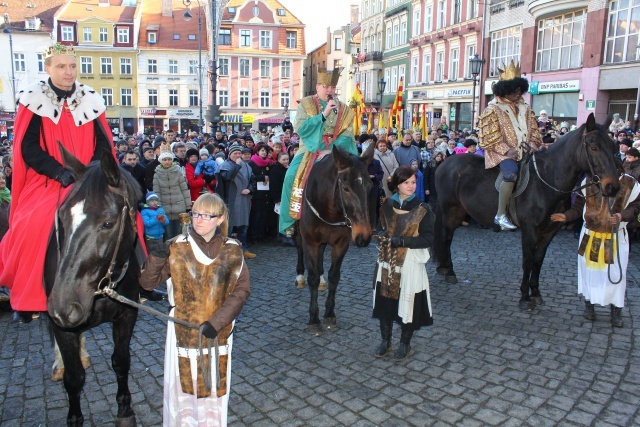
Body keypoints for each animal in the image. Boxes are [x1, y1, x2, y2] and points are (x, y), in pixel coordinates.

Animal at [45, 145, 143, 426]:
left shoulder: (127, 315)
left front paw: (124, 410)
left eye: (108, 223)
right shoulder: (63, 328)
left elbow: (121, 361)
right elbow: (74, 378)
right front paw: (75, 419)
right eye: (62, 218)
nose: (64, 306)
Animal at [296, 145, 376, 334]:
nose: (364, 236)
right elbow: (312, 277)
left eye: (370, 186)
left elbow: (334, 276)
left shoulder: (341, 243)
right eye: (346, 188)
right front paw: (313, 318)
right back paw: (300, 276)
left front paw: (329, 313)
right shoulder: (310, 242)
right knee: (298, 246)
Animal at [430, 113, 620, 310]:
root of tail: (445, 163)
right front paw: (524, 297)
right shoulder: (530, 230)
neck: (547, 181)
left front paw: (535, 293)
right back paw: (449, 271)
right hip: (450, 210)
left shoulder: (550, 231)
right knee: (446, 237)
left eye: (613, 147)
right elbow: (528, 261)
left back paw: (444, 268)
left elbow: (538, 260)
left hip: (459, 212)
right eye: (594, 147)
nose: (612, 186)